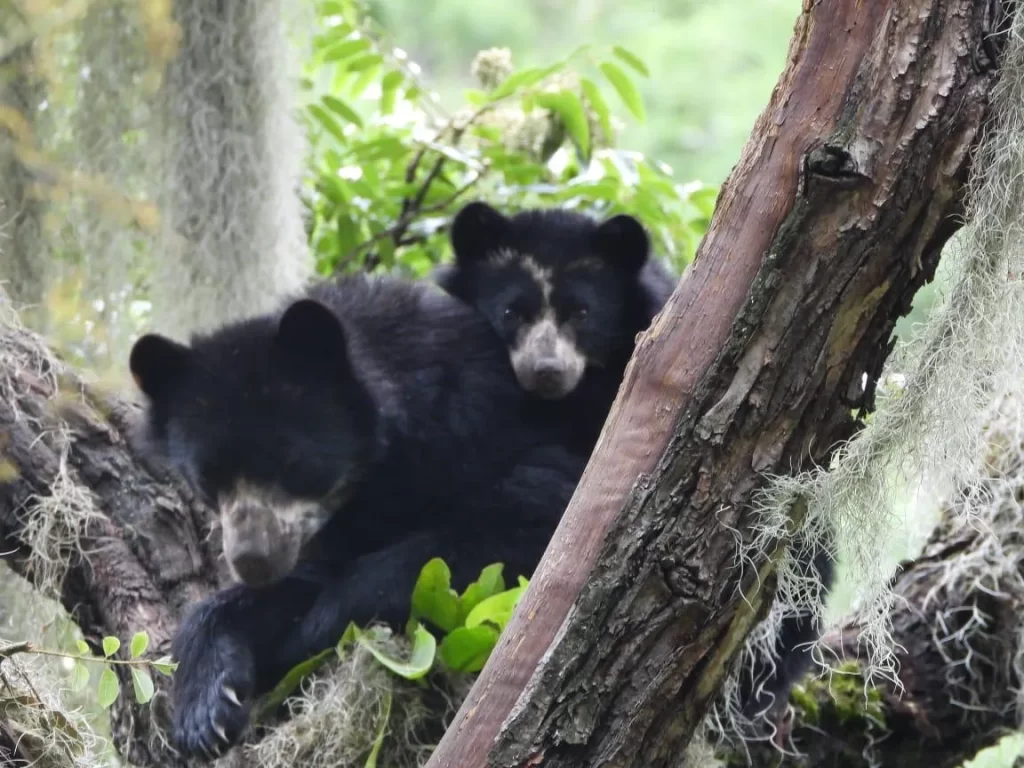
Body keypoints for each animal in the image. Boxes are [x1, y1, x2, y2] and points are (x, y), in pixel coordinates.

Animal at [129, 274, 585, 759]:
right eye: (208, 478)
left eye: (291, 464)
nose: (253, 560)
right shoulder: (327, 531)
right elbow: (284, 587)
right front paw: (205, 716)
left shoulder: (483, 432)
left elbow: (523, 518)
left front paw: (308, 635)